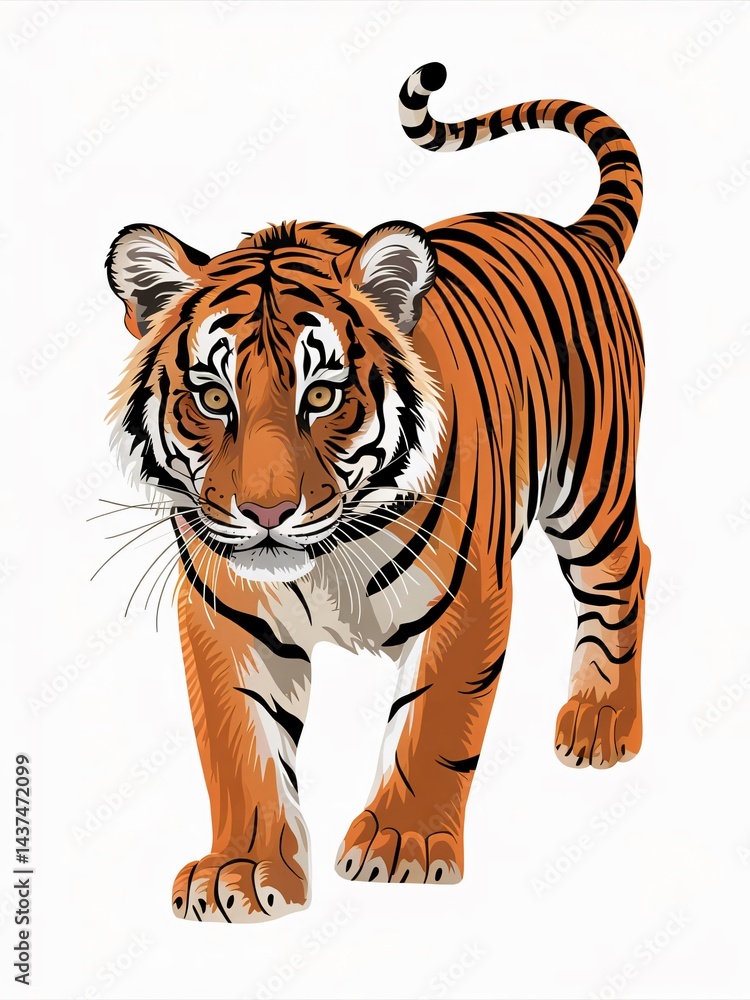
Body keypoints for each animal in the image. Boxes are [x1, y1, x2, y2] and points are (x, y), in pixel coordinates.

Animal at [104, 61, 649, 922]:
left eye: (323, 395)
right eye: (214, 397)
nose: (266, 512)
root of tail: (575, 234)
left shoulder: (468, 596)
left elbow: (434, 720)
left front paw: (404, 847)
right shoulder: (227, 615)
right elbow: (241, 747)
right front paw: (241, 872)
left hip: (590, 489)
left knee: (627, 574)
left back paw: (599, 725)